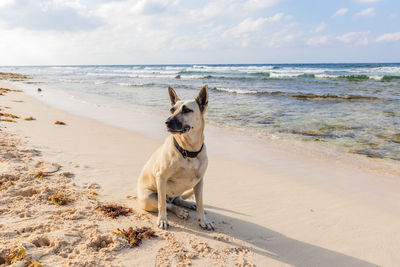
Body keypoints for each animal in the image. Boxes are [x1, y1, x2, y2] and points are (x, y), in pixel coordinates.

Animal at [138, 85, 214, 230]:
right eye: (172, 109)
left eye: (187, 110)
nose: (167, 122)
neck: (189, 151)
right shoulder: (161, 177)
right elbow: (162, 204)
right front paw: (163, 219)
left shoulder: (199, 182)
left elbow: (201, 203)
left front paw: (203, 220)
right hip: (147, 197)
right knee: (168, 204)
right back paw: (179, 211)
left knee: (177, 199)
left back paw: (188, 204)